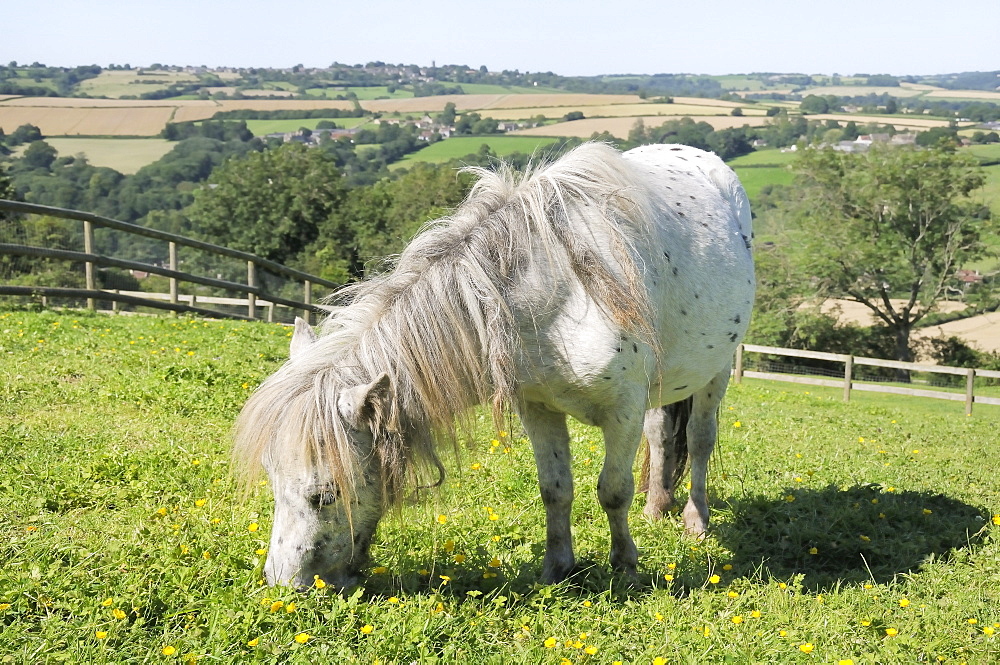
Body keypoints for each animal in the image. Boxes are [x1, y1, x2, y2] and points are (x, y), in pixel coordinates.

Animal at [234, 141, 752, 588]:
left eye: (324, 495)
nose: (282, 582)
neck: (555, 293)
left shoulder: (621, 410)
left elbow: (613, 490)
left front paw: (625, 567)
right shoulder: (538, 408)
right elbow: (555, 488)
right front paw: (557, 569)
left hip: (715, 374)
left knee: (699, 441)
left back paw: (695, 520)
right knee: (662, 436)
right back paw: (657, 507)